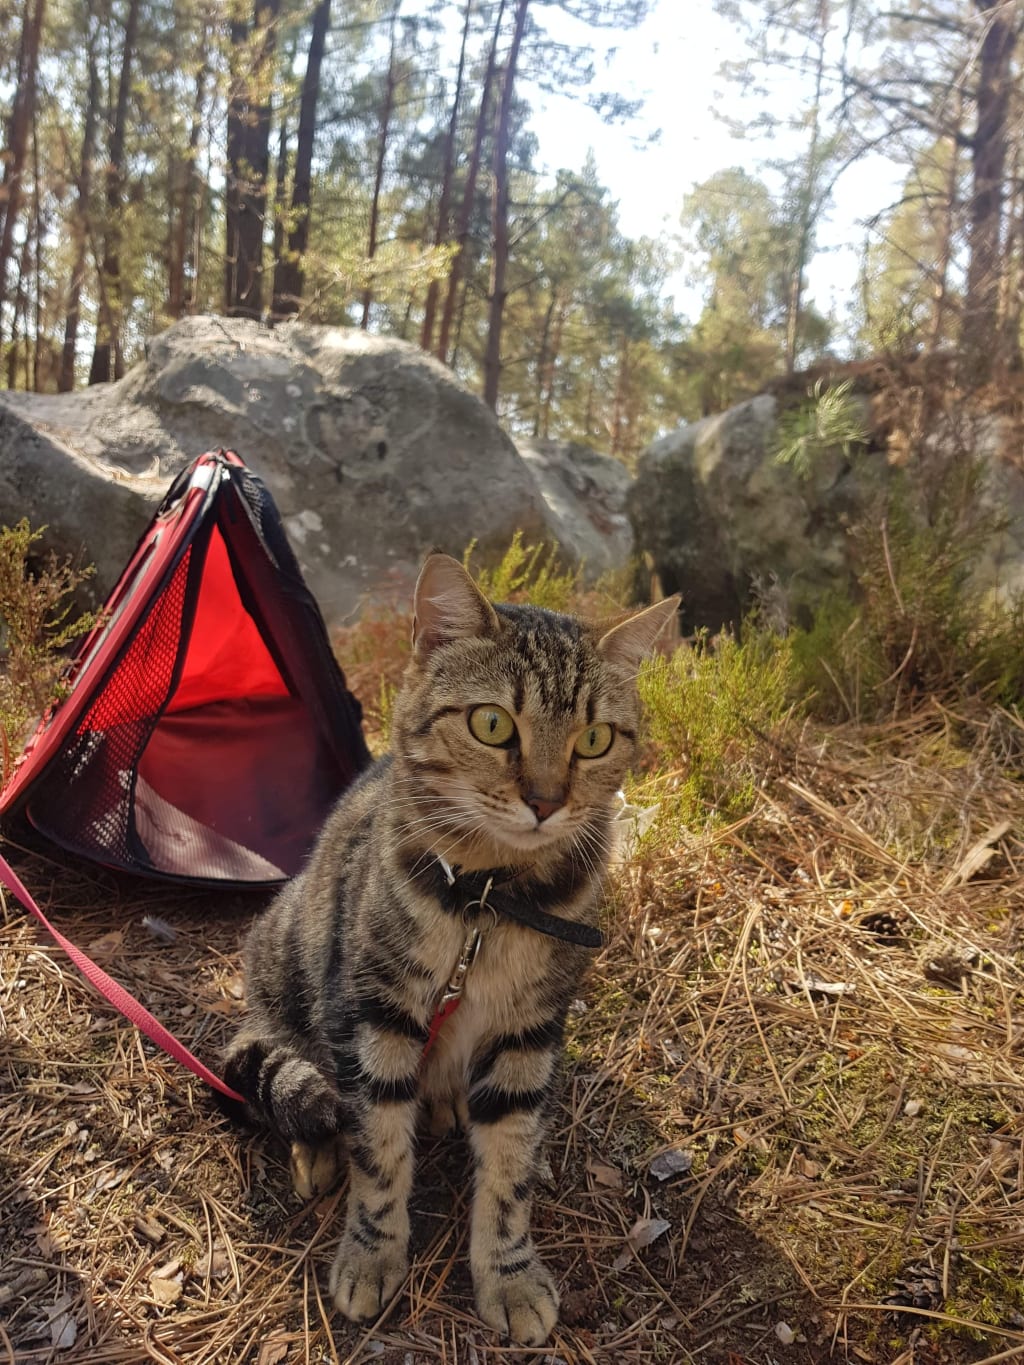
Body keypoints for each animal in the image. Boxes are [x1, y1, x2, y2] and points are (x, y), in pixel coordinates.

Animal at [223, 554, 677, 1343]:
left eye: (594, 739)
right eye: (492, 724)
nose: (546, 801)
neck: (492, 898)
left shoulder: (529, 1032)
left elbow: (509, 1171)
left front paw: (510, 1273)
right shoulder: (377, 1014)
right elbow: (379, 1152)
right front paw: (372, 1254)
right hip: (288, 973)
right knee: (297, 1076)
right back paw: (318, 1146)